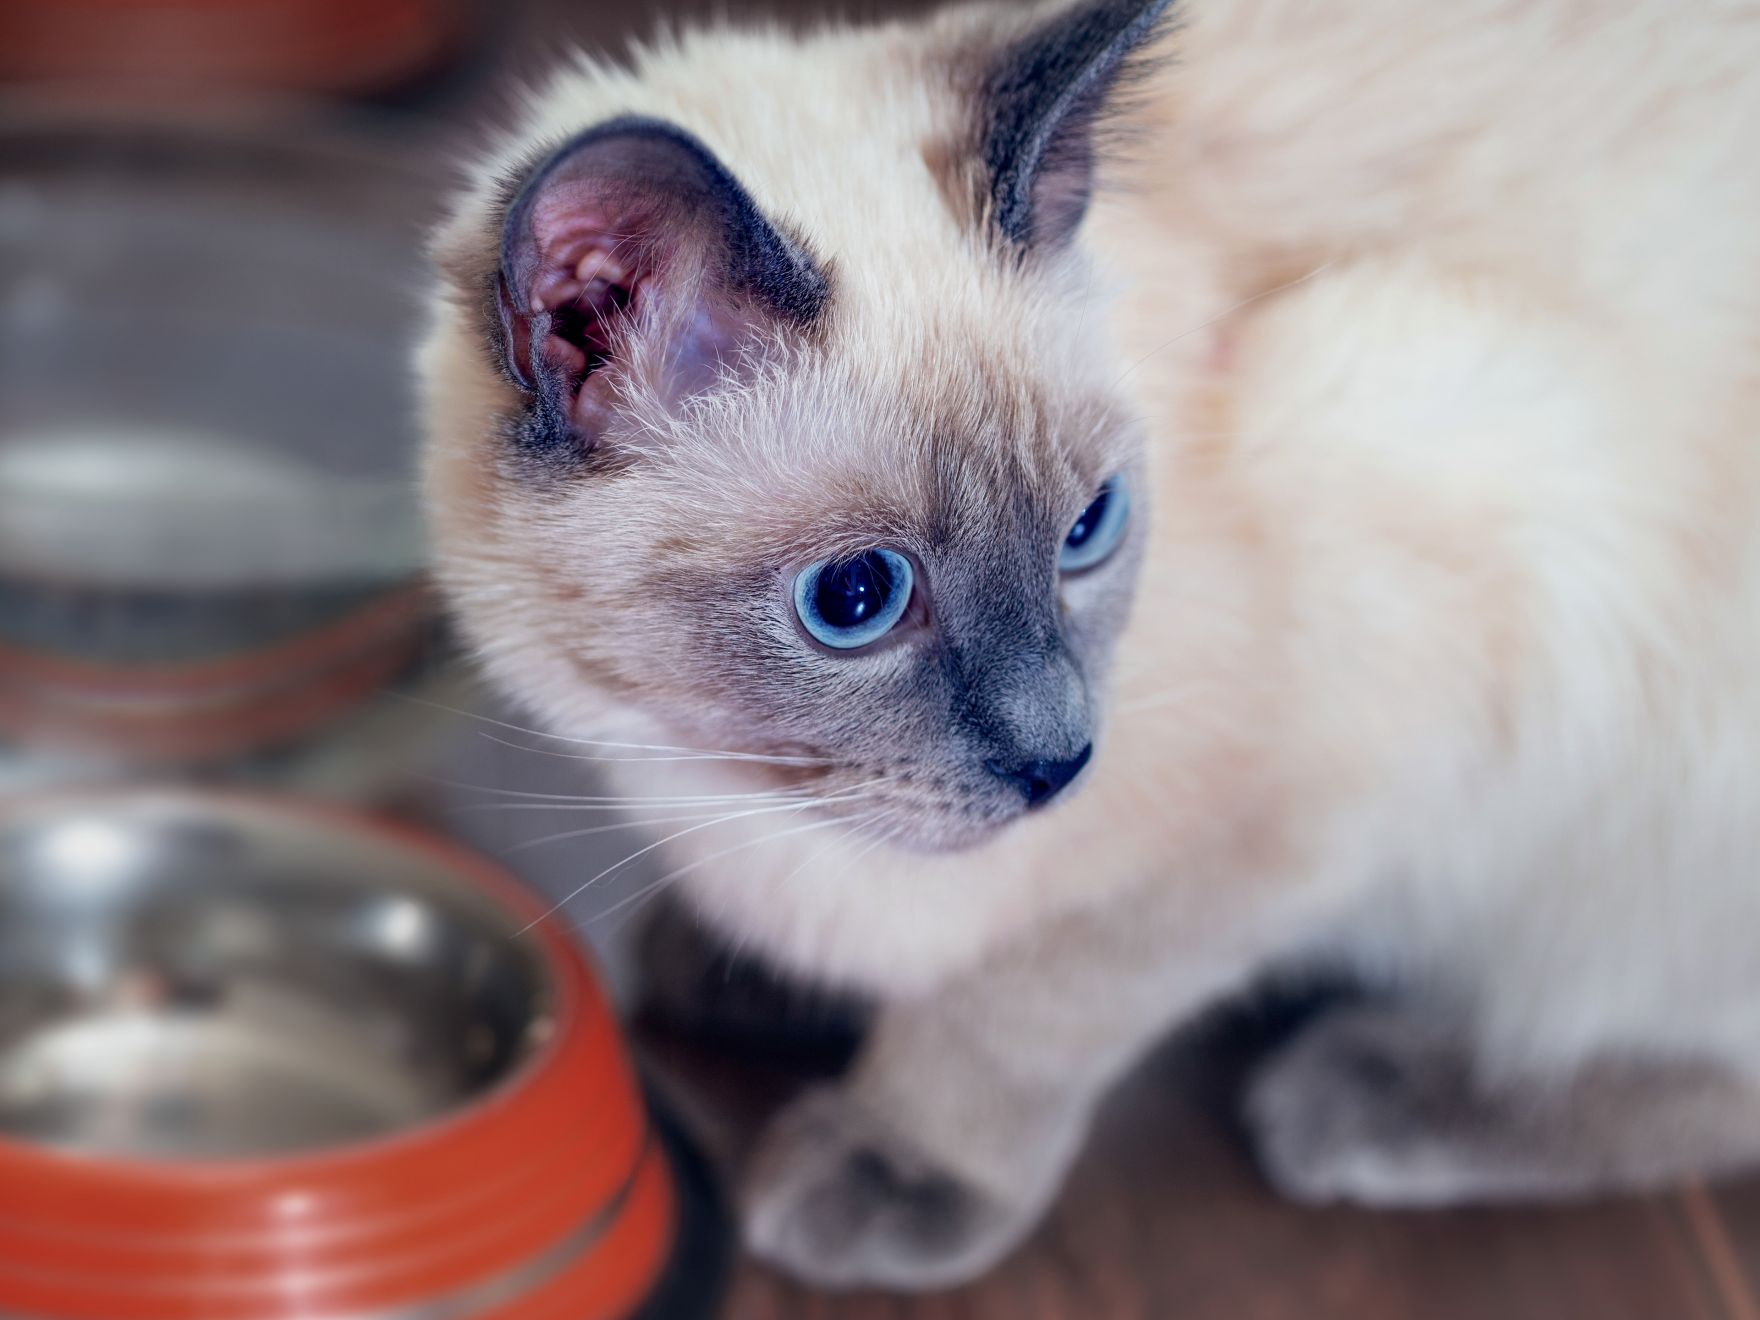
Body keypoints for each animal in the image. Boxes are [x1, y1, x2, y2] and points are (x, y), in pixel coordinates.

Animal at [418, 0, 1760, 1295]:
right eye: (855, 598)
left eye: (1086, 530)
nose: (1059, 763)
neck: (723, 787)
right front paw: (748, 976)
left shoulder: (1334, 770)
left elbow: (1026, 1005)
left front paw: (903, 1158)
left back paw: (1372, 1092)